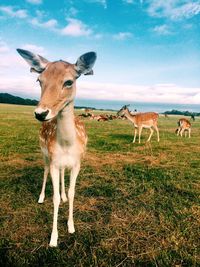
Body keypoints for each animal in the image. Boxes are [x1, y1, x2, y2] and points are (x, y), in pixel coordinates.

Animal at [16, 47, 96, 247]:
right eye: (39, 80)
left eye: (68, 82)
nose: (41, 113)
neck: (66, 145)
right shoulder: (53, 161)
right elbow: (55, 198)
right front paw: (53, 238)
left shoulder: (77, 164)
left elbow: (72, 192)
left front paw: (71, 226)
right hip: (44, 153)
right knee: (45, 171)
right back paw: (40, 197)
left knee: (62, 175)